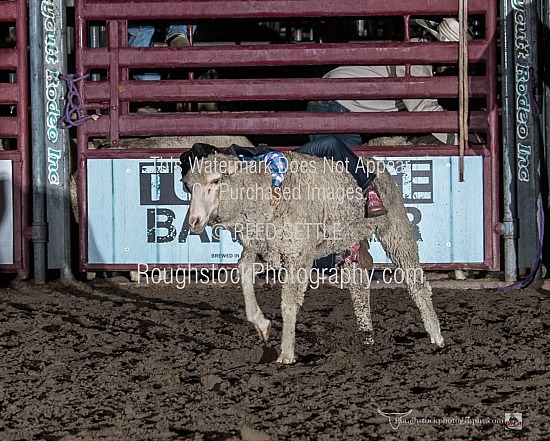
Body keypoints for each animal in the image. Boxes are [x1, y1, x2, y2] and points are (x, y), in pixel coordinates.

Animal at [183, 146, 446, 362]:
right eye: (188, 187)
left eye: (216, 180)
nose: (194, 221)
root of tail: (373, 162)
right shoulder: (266, 250)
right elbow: (243, 271)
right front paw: (262, 324)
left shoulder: (298, 254)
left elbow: (289, 302)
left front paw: (287, 353)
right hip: (348, 239)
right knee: (359, 285)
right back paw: (367, 335)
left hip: (395, 228)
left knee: (416, 282)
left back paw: (436, 336)